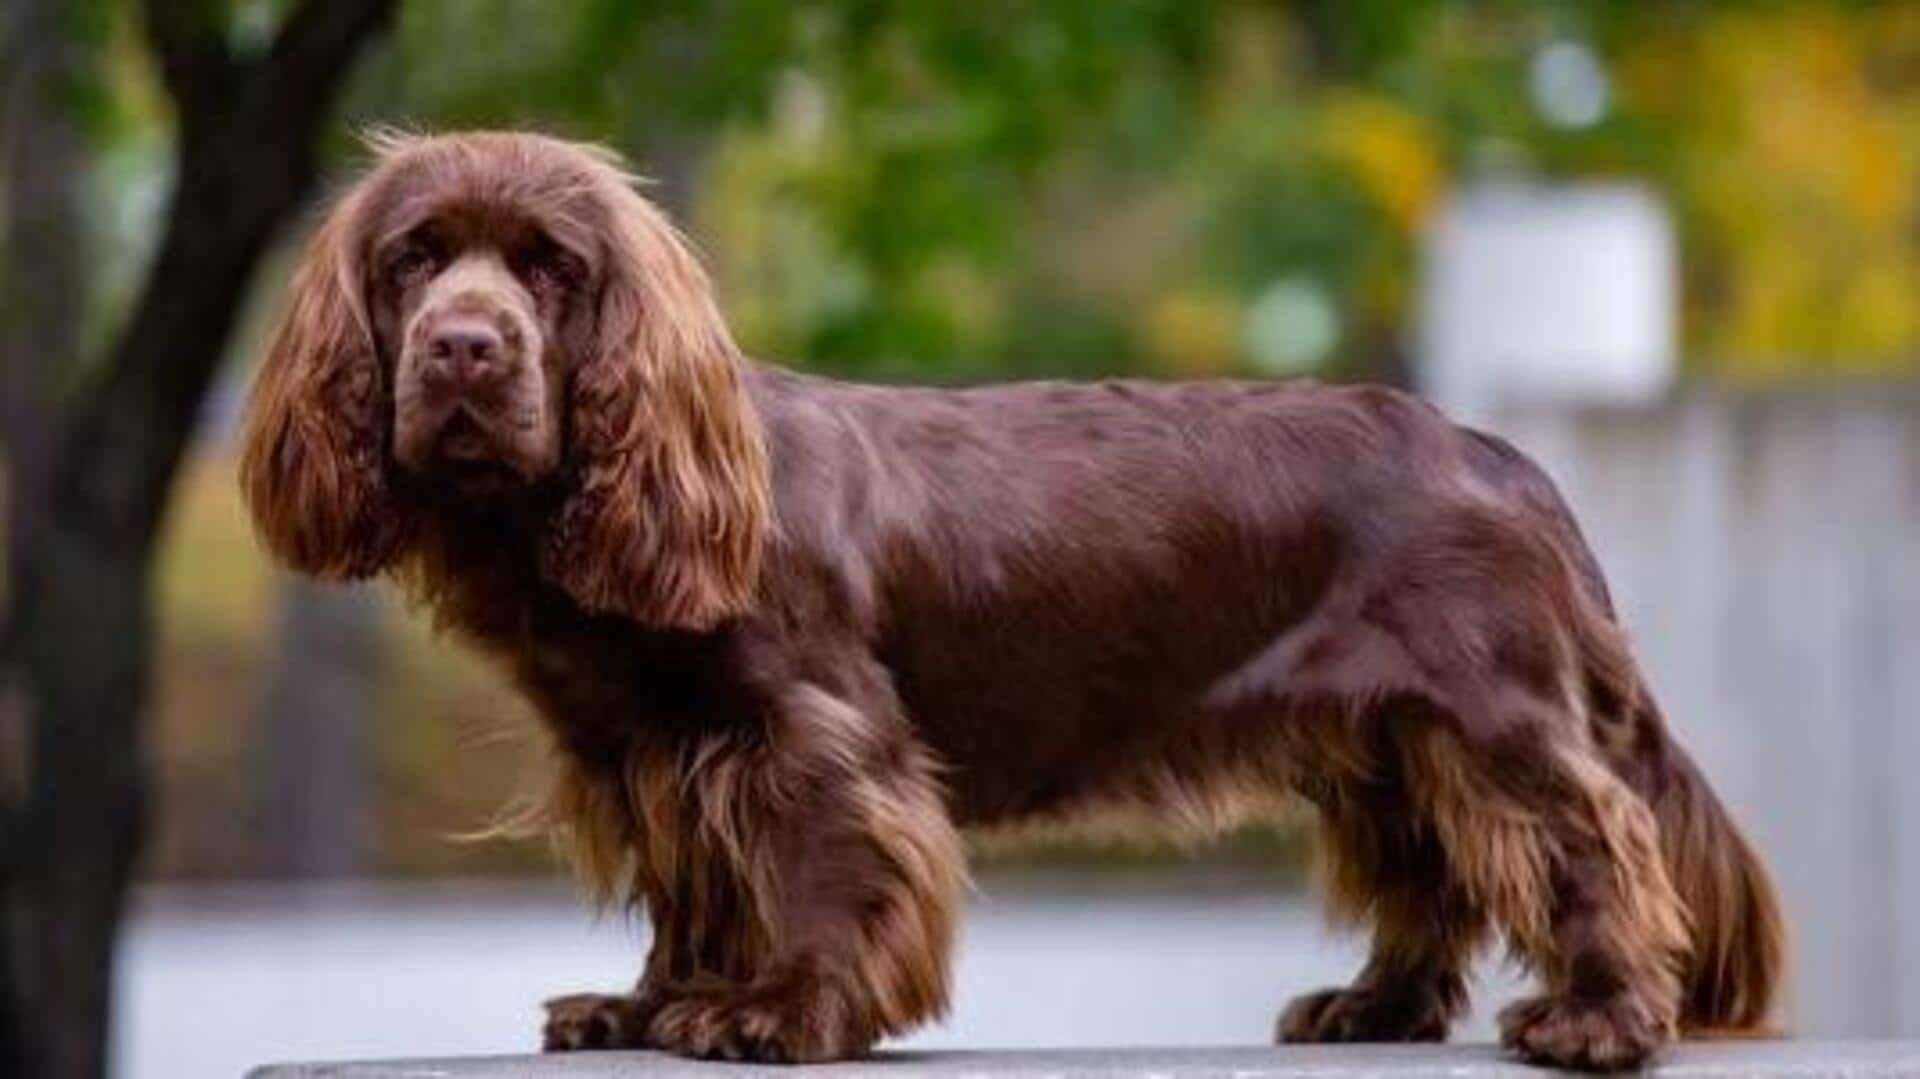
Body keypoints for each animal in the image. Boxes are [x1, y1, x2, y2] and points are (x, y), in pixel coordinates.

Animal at [240, 130, 1781, 1059]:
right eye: (414, 258)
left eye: (550, 269)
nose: (464, 348)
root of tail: (1496, 451)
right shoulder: (659, 755)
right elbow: (699, 887)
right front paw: (648, 1004)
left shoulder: (814, 733)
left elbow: (820, 871)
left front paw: (776, 1008)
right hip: (1387, 738)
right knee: (1434, 874)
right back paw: (1370, 1004)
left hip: (1488, 712)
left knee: (1590, 840)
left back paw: (1600, 1016)